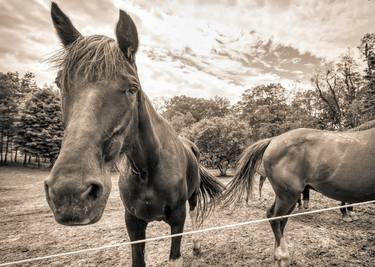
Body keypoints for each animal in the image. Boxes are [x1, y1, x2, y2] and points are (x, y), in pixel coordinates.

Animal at [45, 3, 225, 266]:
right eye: (59, 84)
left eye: (132, 88)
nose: (70, 194)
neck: (148, 168)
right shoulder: (133, 222)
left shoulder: (177, 218)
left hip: (191, 199)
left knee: (195, 215)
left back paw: (197, 245)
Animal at [223, 126, 375, 267]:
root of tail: (273, 140)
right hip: (288, 195)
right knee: (274, 217)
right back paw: (283, 256)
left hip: (286, 196)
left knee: (279, 219)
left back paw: (277, 257)